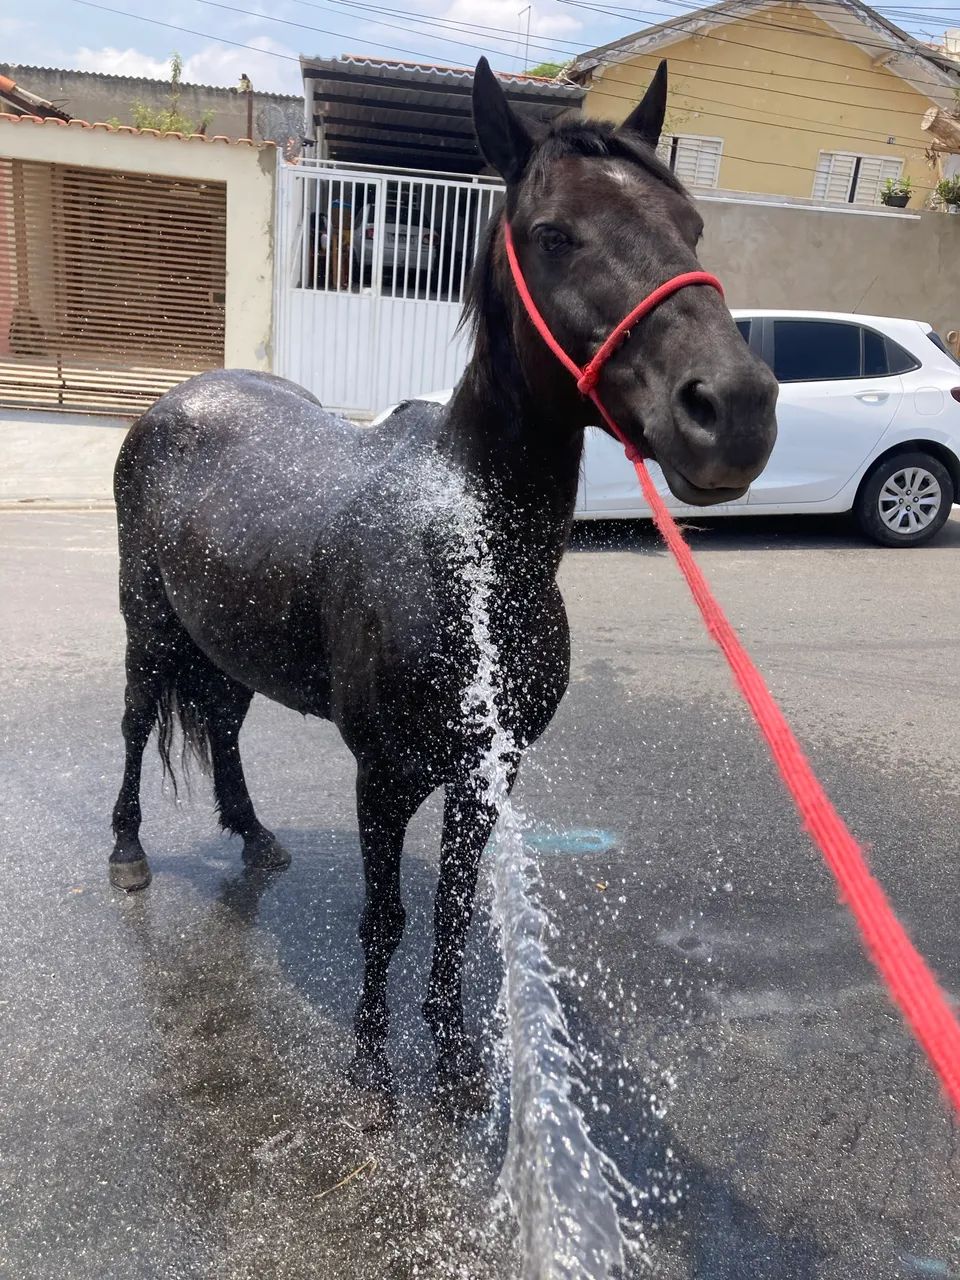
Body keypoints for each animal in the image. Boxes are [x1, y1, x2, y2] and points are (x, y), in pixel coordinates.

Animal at [109, 57, 778, 1107]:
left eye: (692, 228)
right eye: (554, 234)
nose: (735, 410)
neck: (466, 555)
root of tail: (176, 402)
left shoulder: (487, 774)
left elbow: (457, 912)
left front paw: (458, 1058)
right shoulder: (383, 777)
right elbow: (386, 918)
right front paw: (373, 1067)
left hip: (229, 640)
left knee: (219, 722)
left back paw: (255, 837)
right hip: (148, 625)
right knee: (140, 723)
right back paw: (129, 853)